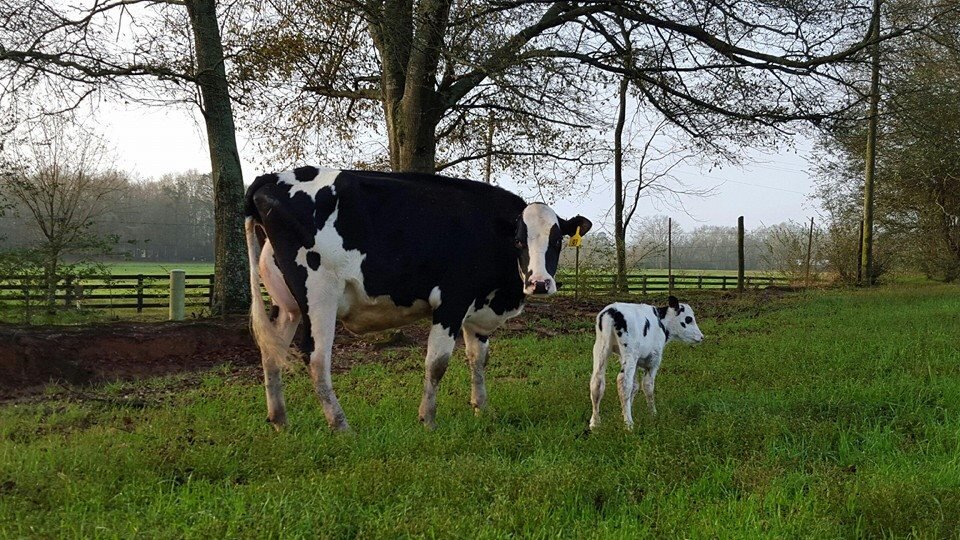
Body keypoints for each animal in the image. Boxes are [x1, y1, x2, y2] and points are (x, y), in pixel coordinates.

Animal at [243, 167, 592, 432]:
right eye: (519, 241)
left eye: (557, 241)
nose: (539, 283)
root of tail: (272, 177)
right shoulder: (451, 303)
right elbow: (437, 364)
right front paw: (428, 420)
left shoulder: (476, 312)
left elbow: (478, 359)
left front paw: (482, 409)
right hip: (319, 295)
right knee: (315, 358)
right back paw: (341, 425)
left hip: (287, 305)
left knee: (271, 352)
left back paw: (280, 421)